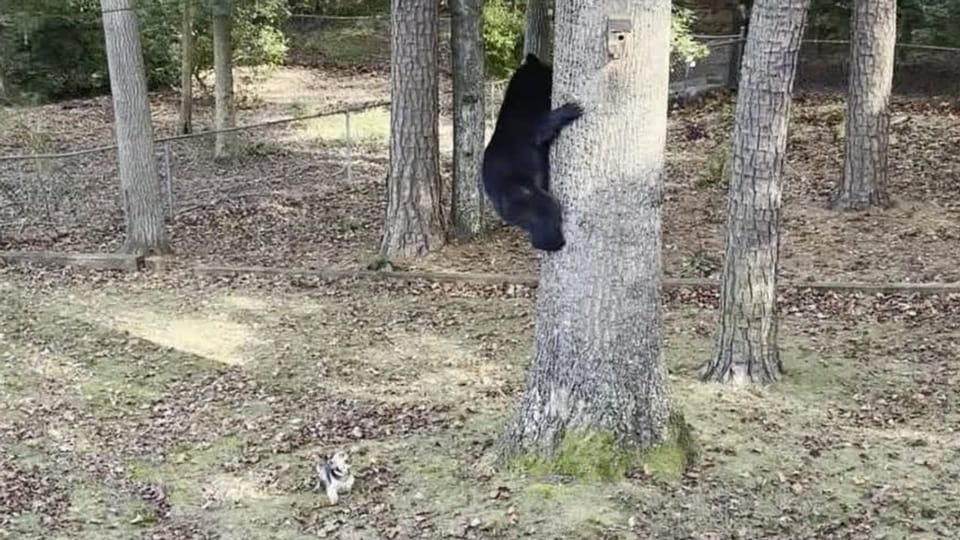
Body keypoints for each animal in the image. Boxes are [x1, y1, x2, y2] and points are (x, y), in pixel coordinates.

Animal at [482, 53, 584, 252]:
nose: (553, 68)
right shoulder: (527, 121)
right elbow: (542, 128)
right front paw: (571, 108)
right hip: (522, 194)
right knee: (547, 209)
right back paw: (556, 242)